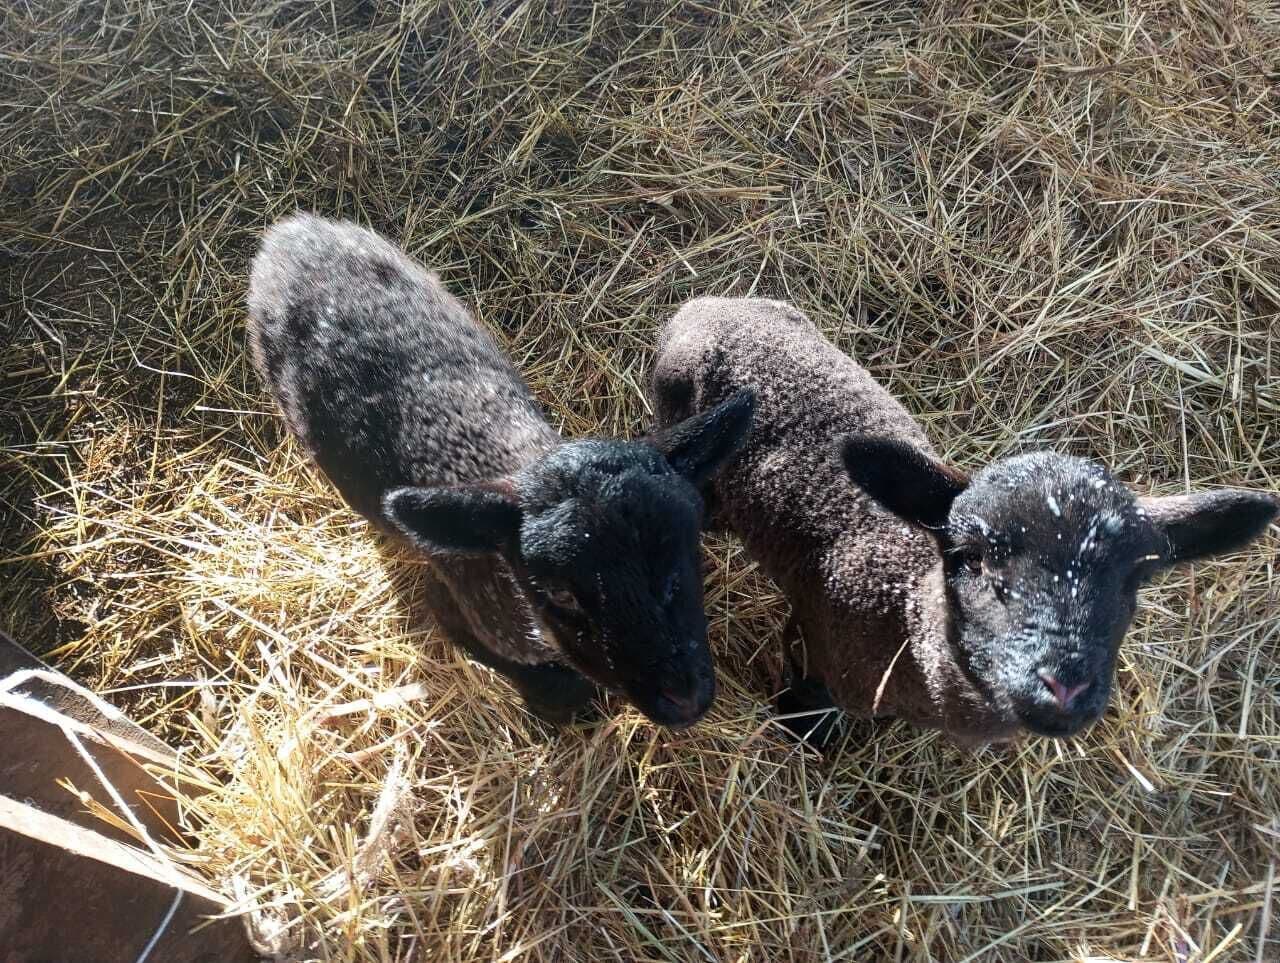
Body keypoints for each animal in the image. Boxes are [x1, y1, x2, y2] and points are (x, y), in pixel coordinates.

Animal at [247, 215, 755, 728]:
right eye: (561, 595)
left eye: (685, 555)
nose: (685, 698)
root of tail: (292, 230)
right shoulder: (457, 605)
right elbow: (555, 684)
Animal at [650, 296, 1279, 745]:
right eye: (971, 558)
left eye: (1136, 580)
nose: (1063, 686)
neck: (903, 604)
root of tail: (708, 303)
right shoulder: (813, 638)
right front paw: (803, 733)